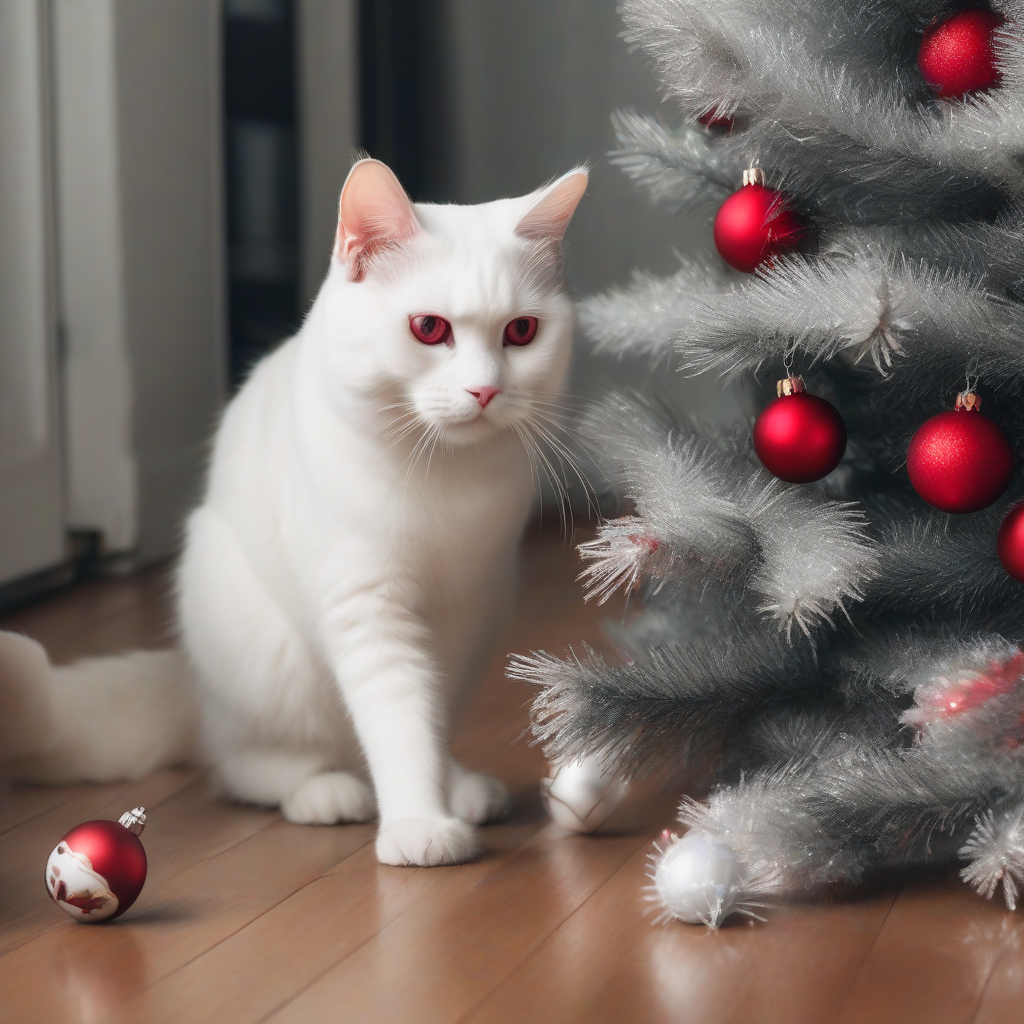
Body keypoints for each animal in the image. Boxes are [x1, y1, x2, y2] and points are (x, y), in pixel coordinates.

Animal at [2, 157, 585, 864]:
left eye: (521, 332)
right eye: (429, 329)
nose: (485, 390)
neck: (446, 479)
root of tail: (191, 683)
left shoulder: (464, 611)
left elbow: (430, 712)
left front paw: (439, 793)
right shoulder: (366, 605)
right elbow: (398, 716)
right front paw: (419, 822)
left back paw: (461, 786)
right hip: (261, 648)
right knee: (243, 764)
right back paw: (323, 790)